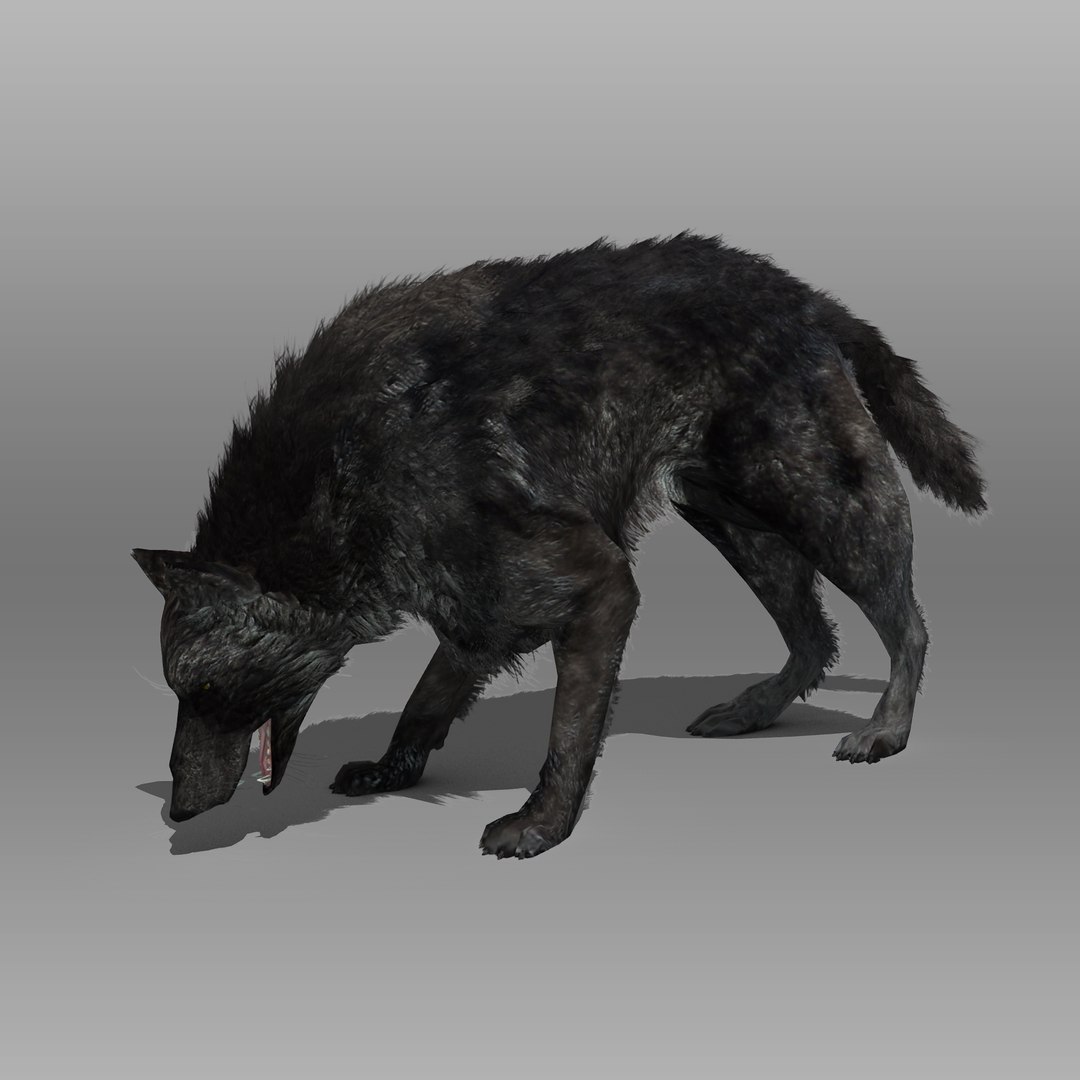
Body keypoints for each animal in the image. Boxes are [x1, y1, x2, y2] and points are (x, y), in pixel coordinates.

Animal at [133, 232, 986, 858]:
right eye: (178, 691)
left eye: (204, 688)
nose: (177, 812)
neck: (340, 469)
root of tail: (803, 294)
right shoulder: (475, 612)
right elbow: (424, 703)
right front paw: (391, 770)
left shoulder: (598, 587)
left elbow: (569, 734)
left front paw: (543, 826)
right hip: (734, 519)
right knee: (815, 636)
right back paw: (752, 711)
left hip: (817, 510)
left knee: (908, 625)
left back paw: (886, 729)